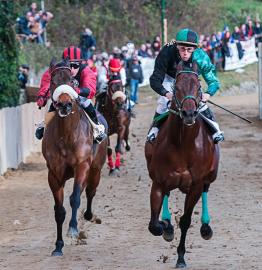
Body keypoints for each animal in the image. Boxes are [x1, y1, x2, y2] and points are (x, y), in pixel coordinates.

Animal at [41, 58, 107, 255]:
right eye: (53, 81)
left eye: (72, 81)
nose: (64, 105)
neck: (67, 136)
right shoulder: (54, 174)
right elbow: (59, 210)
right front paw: (58, 245)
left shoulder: (82, 166)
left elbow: (75, 198)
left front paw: (72, 229)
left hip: (95, 169)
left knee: (90, 191)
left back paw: (88, 215)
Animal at [144, 61, 220, 268]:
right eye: (176, 87)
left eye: (199, 87)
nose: (189, 113)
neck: (183, 143)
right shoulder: (159, 181)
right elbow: (154, 225)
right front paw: (166, 226)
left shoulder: (195, 185)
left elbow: (185, 221)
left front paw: (180, 258)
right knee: (168, 195)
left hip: (211, 176)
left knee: (206, 189)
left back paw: (206, 227)